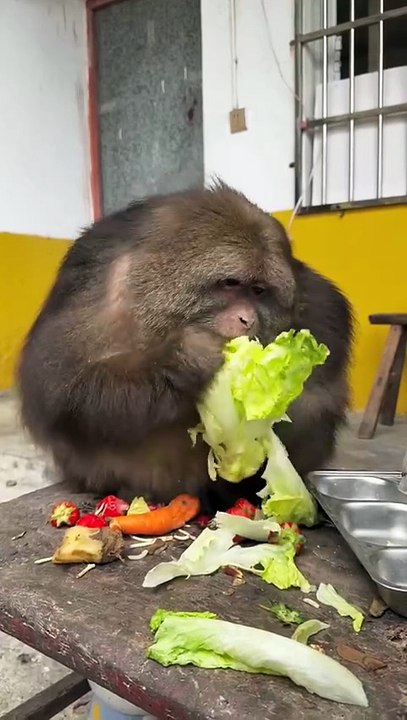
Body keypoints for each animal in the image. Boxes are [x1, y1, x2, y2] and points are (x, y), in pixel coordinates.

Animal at [17, 182, 353, 513]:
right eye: (230, 283)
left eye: (259, 291)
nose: (248, 319)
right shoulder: (94, 282)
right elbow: (61, 385)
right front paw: (187, 359)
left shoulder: (321, 308)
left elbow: (321, 400)